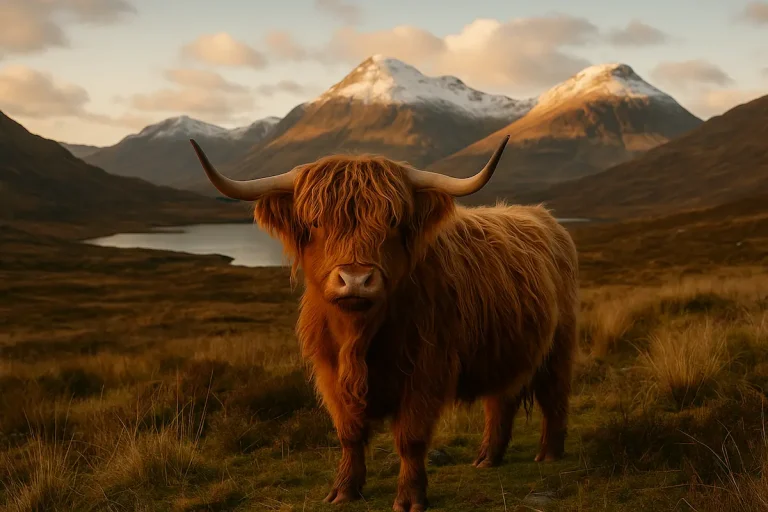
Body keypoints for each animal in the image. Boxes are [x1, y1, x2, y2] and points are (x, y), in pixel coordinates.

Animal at [190, 136, 579, 512]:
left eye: (392, 222)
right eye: (315, 223)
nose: (356, 280)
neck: (359, 337)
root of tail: (545, 217)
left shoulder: (426, 371)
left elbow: (410, 437)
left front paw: (410, 498)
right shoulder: (329, 372)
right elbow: (348, 433)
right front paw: (344, 490)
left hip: (559, 345)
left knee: (554, 395)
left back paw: (549, 453)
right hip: (505, 350)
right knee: (501, 399)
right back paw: (487, 458)